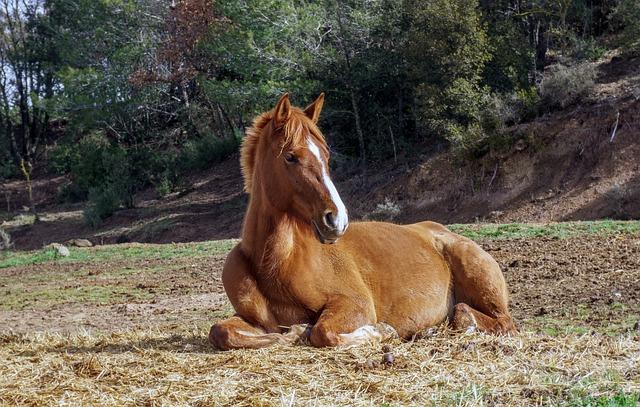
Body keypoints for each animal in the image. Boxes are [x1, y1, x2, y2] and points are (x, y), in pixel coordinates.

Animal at [208, 93, 516, 350]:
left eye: (326, 155)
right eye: (290, 156)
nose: (337, 219)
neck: (277, 263)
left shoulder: (354, 304)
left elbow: (322, 332)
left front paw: (379, 331)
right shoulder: (251, 319)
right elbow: (220, 331)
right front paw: (293, 332)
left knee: (494, 320)